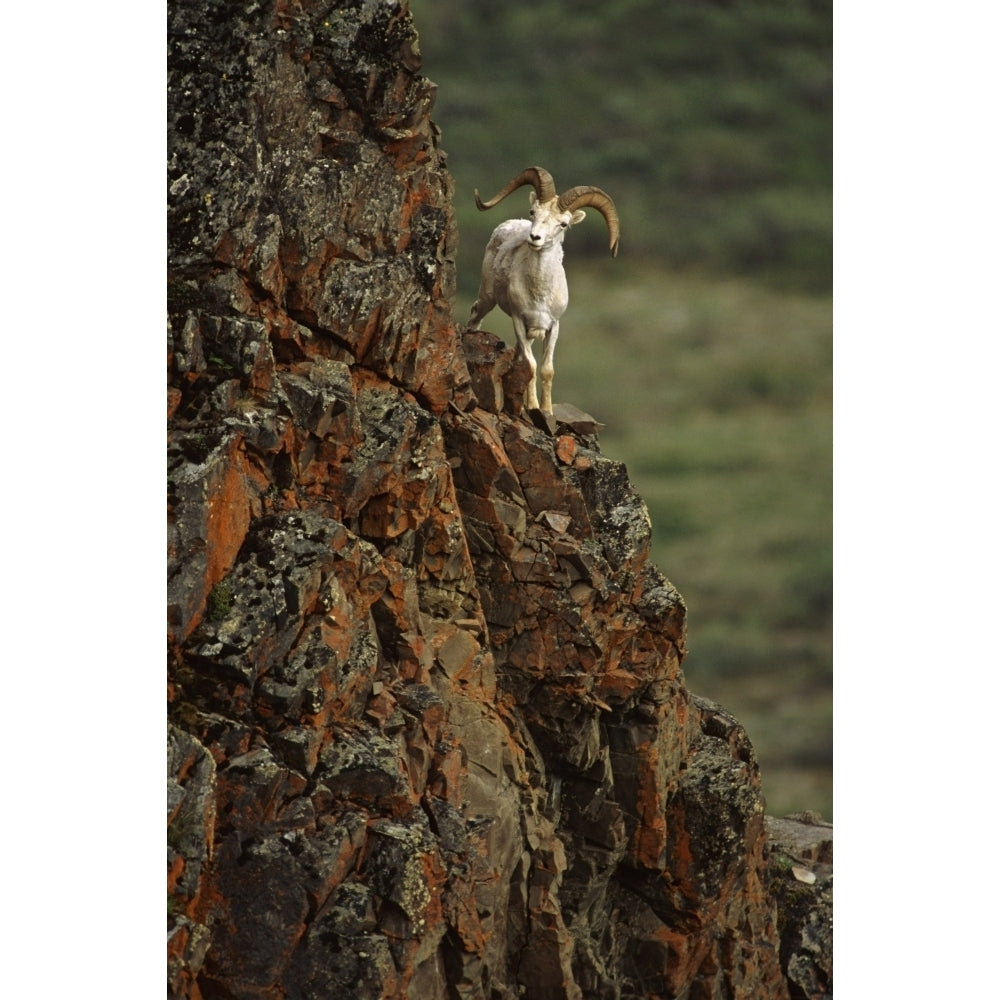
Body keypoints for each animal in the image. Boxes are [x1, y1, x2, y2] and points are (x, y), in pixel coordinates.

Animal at [466, 167, 616, 414]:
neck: (539, 292)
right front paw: (534, 406)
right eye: (533, 212)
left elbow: (546, 369)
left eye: (563, 224)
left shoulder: (552, 326)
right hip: (488, 298)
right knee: (476, 315)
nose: (535, 237)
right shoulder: (518, 320)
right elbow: (531, 366)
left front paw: (545, 411)